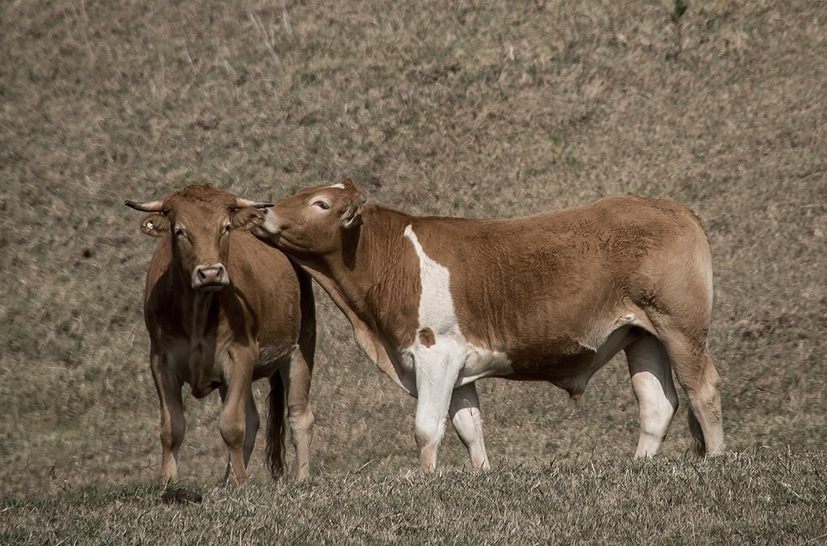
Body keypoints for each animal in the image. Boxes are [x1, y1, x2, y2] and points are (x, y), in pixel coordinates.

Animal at [126, 185, 316, 482]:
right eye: (180, 231)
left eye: (225, 227)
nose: (211, 272)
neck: (197, 315)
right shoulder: (160, 359)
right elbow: (172, 427)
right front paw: (168, 481)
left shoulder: (241, 354)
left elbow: (232, 426)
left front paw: (240, 482)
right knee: (254, 419)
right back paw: (228, 479)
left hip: (300, 347)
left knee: (299, 416)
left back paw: (301, 478)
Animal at [252, 178, 724, 472]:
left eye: (320, 204)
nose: (263, 210)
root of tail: (671, 207)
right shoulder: (458, 364)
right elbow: (468, 427)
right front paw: (481, 473)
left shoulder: (434, 352)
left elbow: (427, 426)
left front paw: (425, 479)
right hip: (642, 334)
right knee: (657, 403)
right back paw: (640, 465)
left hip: (680, 325)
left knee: (702, 389)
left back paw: (717, 459)